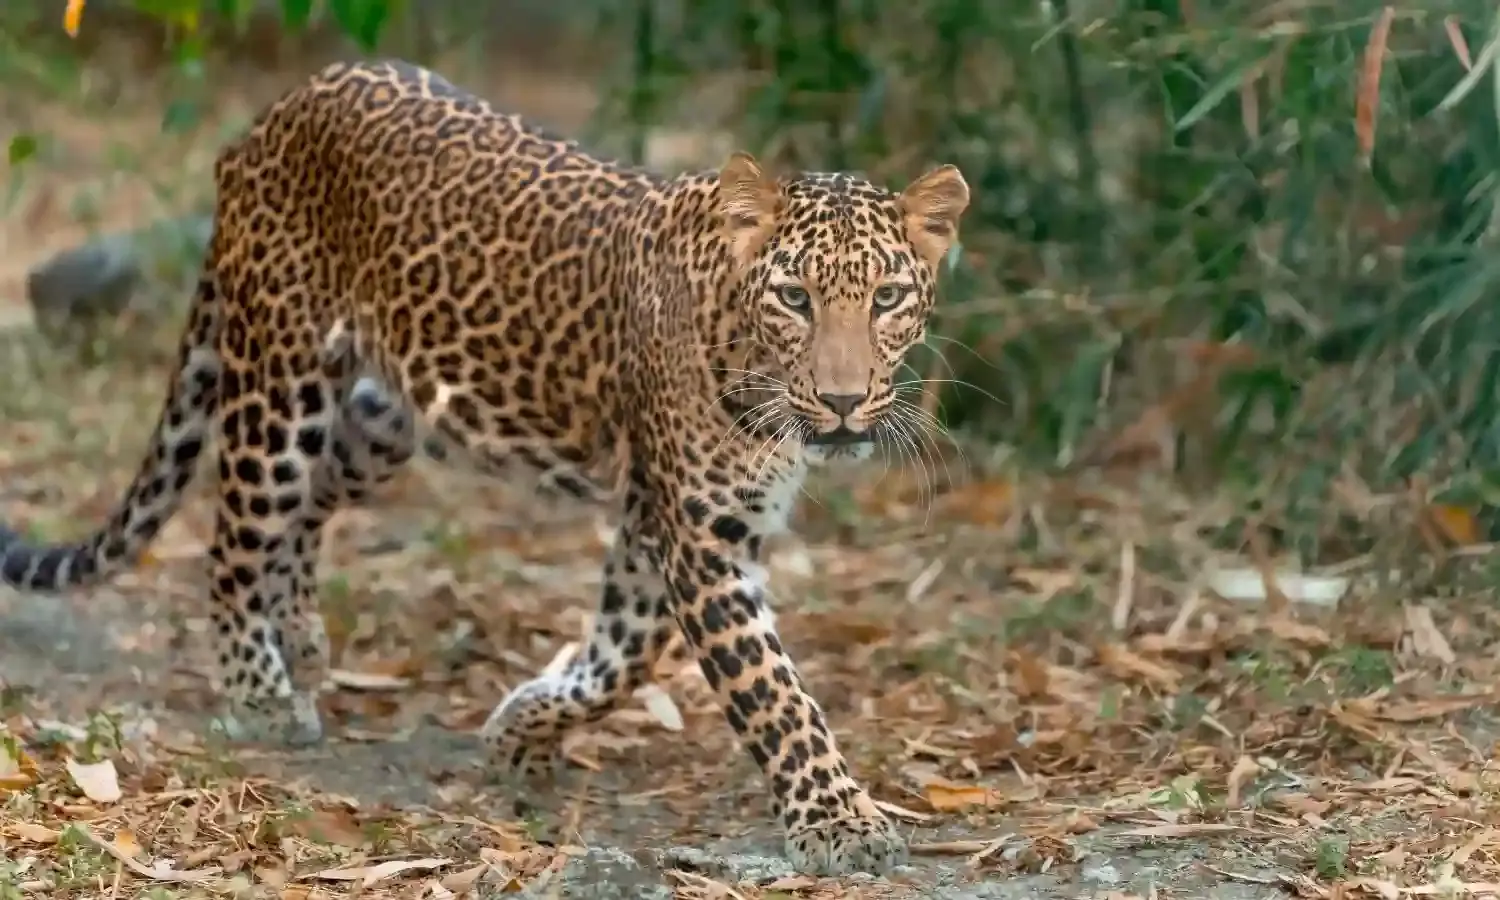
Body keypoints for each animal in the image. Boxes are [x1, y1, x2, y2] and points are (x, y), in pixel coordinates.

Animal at [0, 59, 969, 876]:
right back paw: (262, 691)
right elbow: (775, 694)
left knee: (308, 505)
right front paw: (841, 822)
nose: (841, 402)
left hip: (384, 417)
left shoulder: (673, 522)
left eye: (887, 297)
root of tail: (276, 113)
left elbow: (619, 657)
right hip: (281, 379)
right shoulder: (698, 533)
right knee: (234, 536)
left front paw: (519, 733)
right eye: (794, 298)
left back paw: (300, 634)